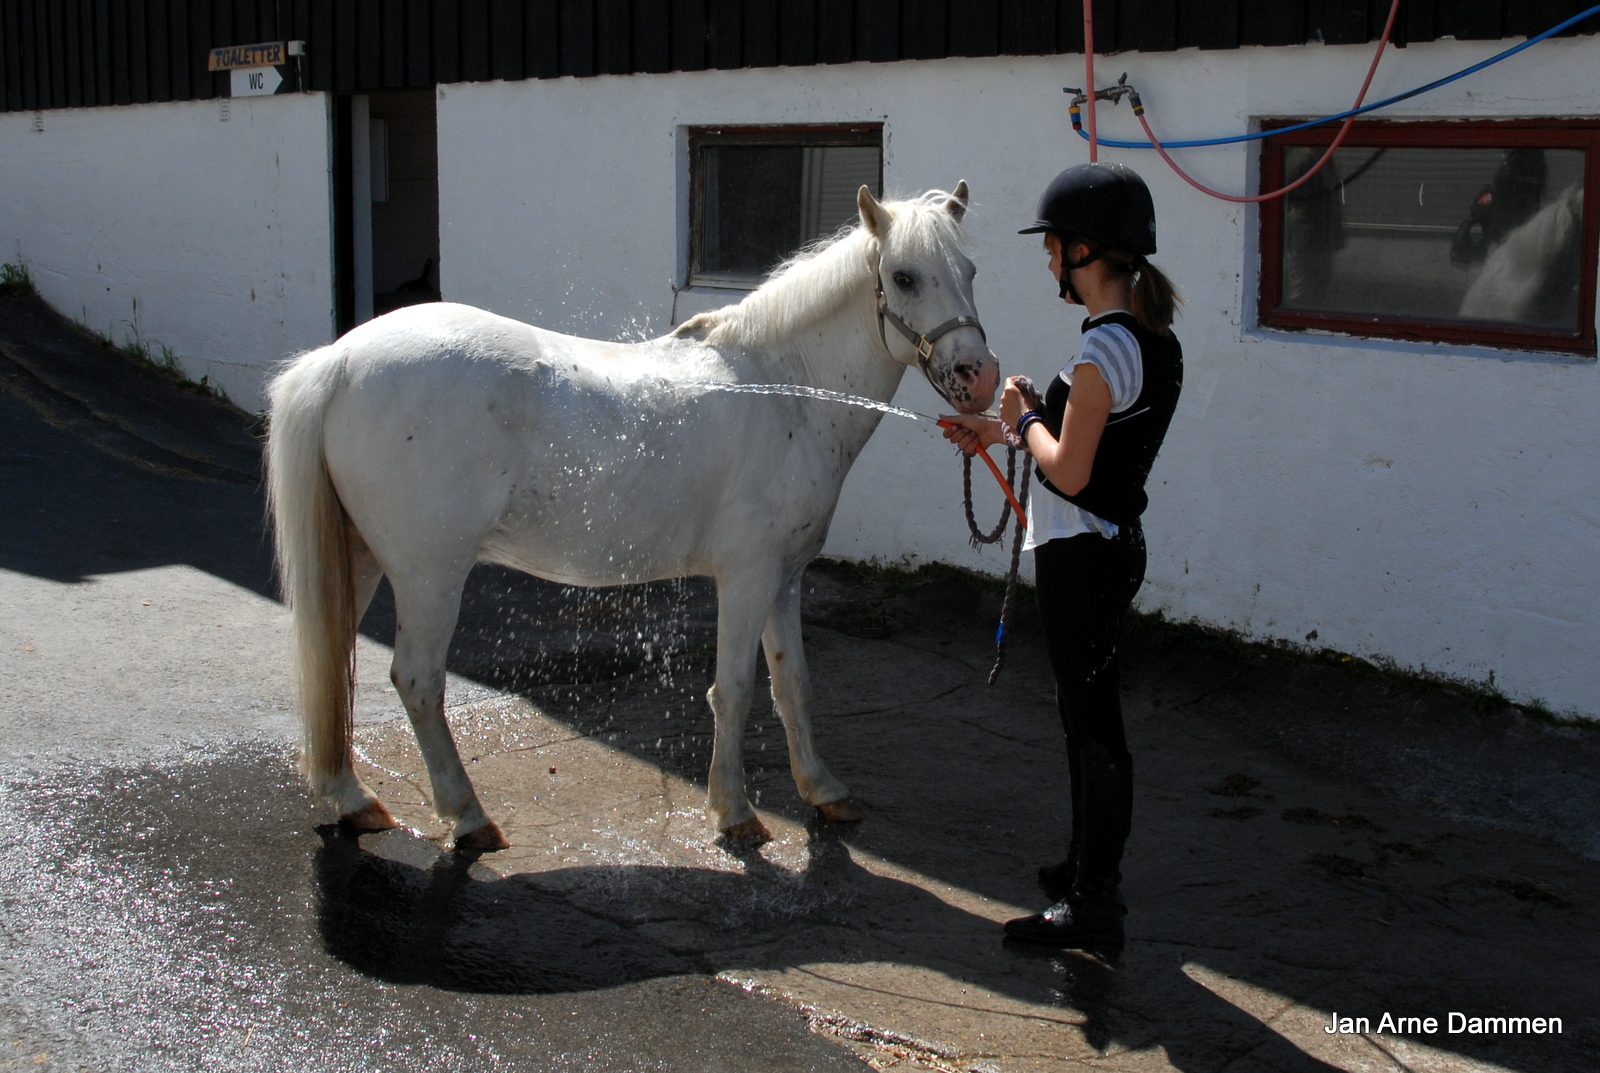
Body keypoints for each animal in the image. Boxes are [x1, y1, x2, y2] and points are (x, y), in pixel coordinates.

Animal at [268, 187, 992, 857]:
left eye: (971, 270)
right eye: (904, 276)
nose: (978, 377)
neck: (785, 386)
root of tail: (338, 361)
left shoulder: (784, 579)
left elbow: (794, 686)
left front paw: (823, 790)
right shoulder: (748, 576)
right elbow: (735, 689)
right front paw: (734, 813)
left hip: (360, 556)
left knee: (333, 658)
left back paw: (354, 799)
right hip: (429, 575)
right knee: (417, 680)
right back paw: (468, 816)